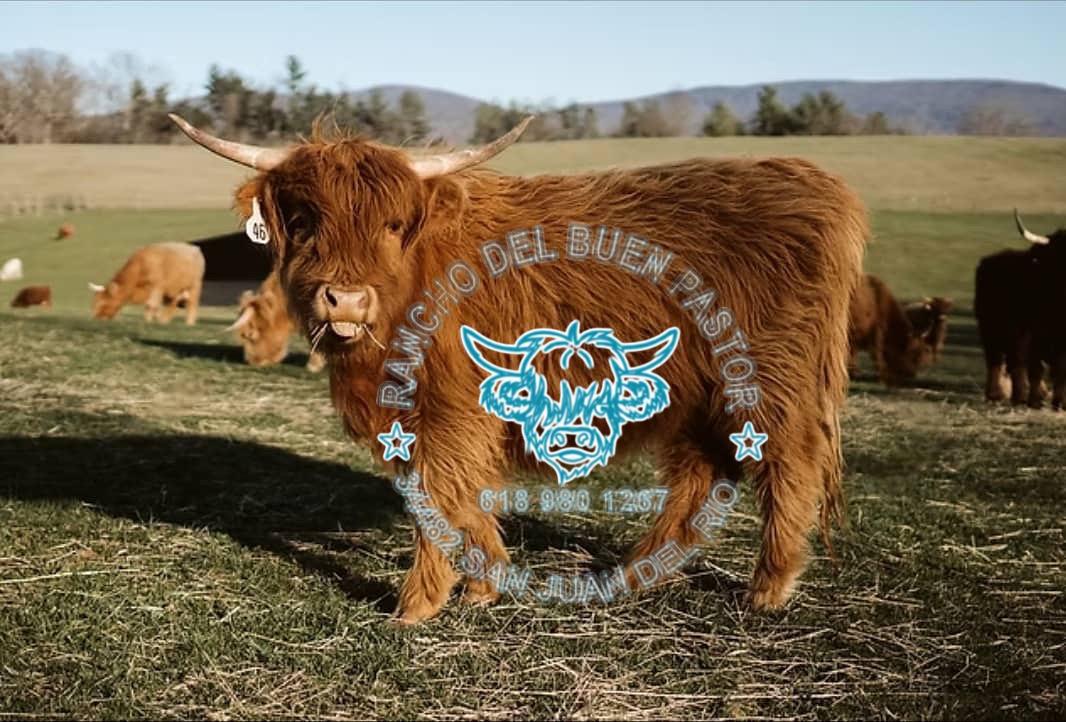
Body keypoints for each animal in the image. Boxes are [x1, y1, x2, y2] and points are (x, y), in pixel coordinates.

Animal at [172, 112, 868, 624]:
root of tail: (811, 181)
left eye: (393, 225)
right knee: (704, 472)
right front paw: (483, 586)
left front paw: (417, 605)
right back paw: (640, 572)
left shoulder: (449, 412)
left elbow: (436, 492)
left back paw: (769, 587)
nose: (344, 299)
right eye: (302, 220)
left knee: (790, 464)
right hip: (699, 392)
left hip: (767, 383)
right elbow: (463, 492)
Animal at [976, 211, 1066, 408]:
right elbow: (1033, 368)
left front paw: (1059, 402)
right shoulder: (1029, 336)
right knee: (998, 362)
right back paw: (1000, 395)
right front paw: (1034, 400)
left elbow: (1060, 369)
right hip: (990, 331)